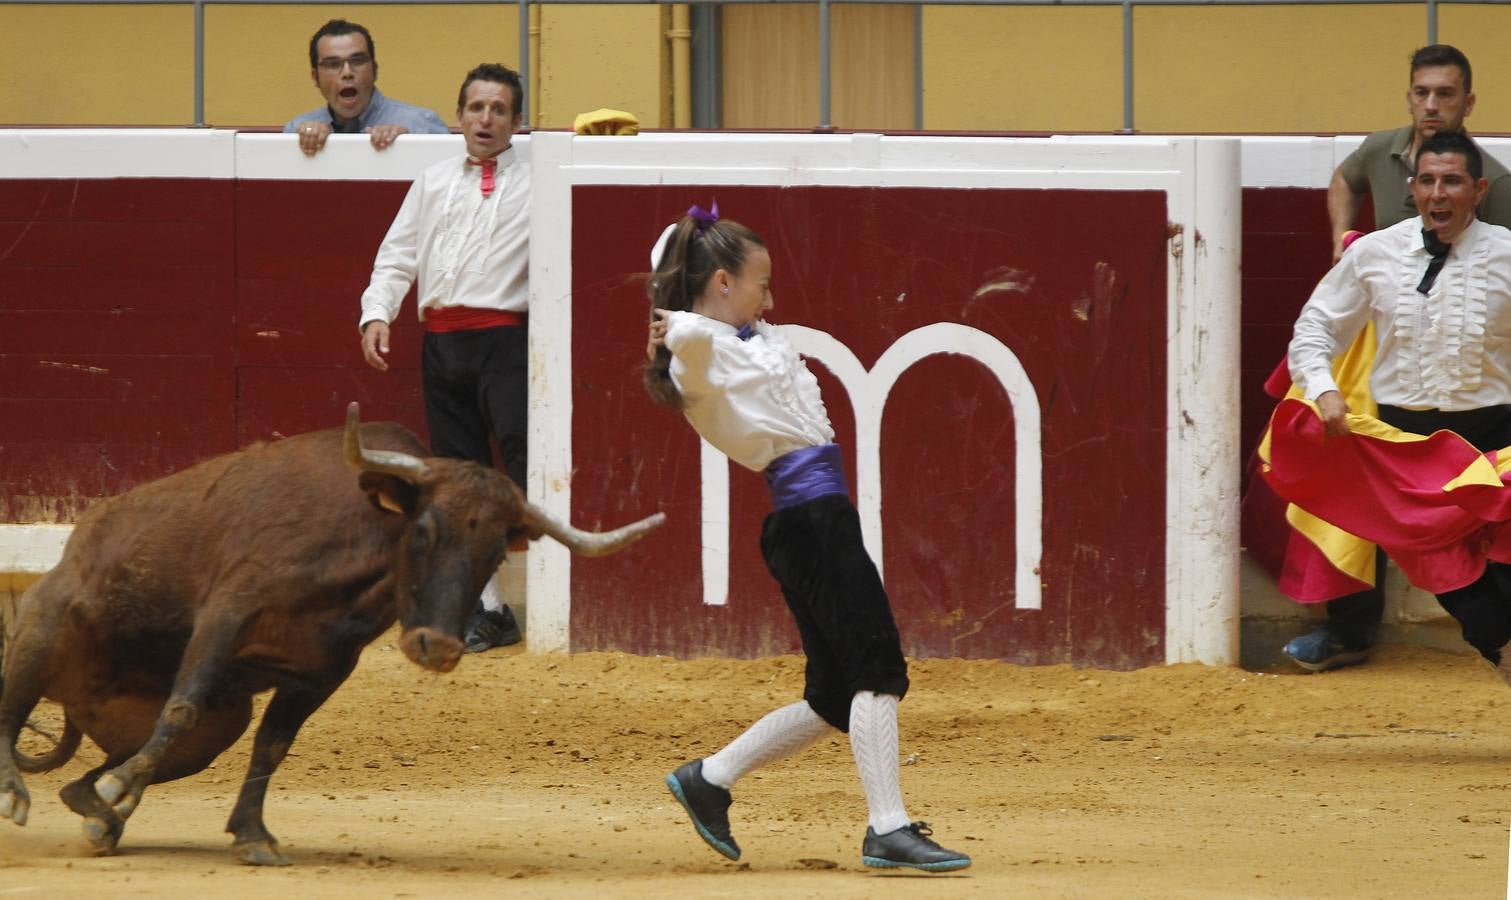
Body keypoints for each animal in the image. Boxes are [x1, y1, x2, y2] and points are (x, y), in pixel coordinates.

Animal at [0, 401, 661, 863]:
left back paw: (102, 815)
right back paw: (24, 794)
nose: (438, 647)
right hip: (39, 635)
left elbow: (272, 746)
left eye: (496, 553)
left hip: (220, 722)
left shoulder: (318, 674)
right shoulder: (226, 614)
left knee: (88, 780)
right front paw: (126, 789)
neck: (357, 547)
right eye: (424, 530)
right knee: (13, 716)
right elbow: (183, 705)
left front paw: (252, 835)